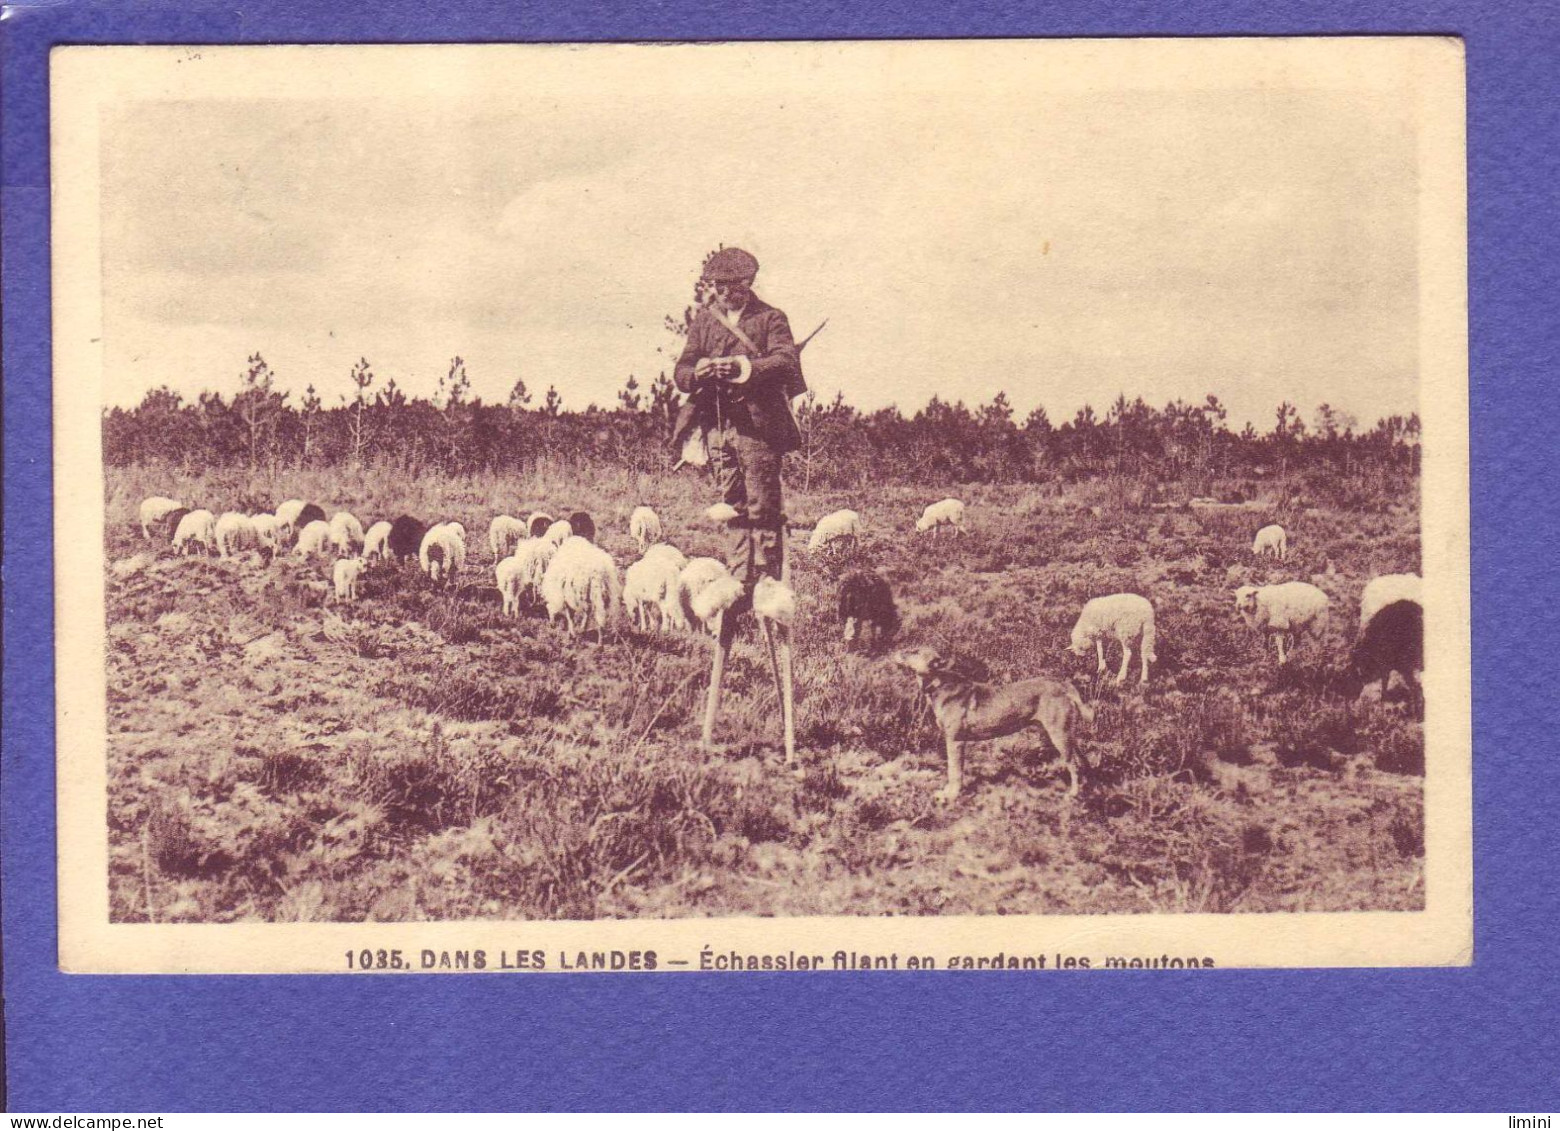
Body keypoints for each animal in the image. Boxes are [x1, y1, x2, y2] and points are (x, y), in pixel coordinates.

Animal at [892, 642, 1098, 804]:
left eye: (915, 651)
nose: (896, 651)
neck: (939, 682)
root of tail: (1063, 684)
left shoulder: (955, 742)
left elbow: (954, 771)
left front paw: (951, 795)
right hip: (1064, 733)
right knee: (1081, 760)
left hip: (1059, 734)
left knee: (1073, 764)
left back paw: (1073, 793)